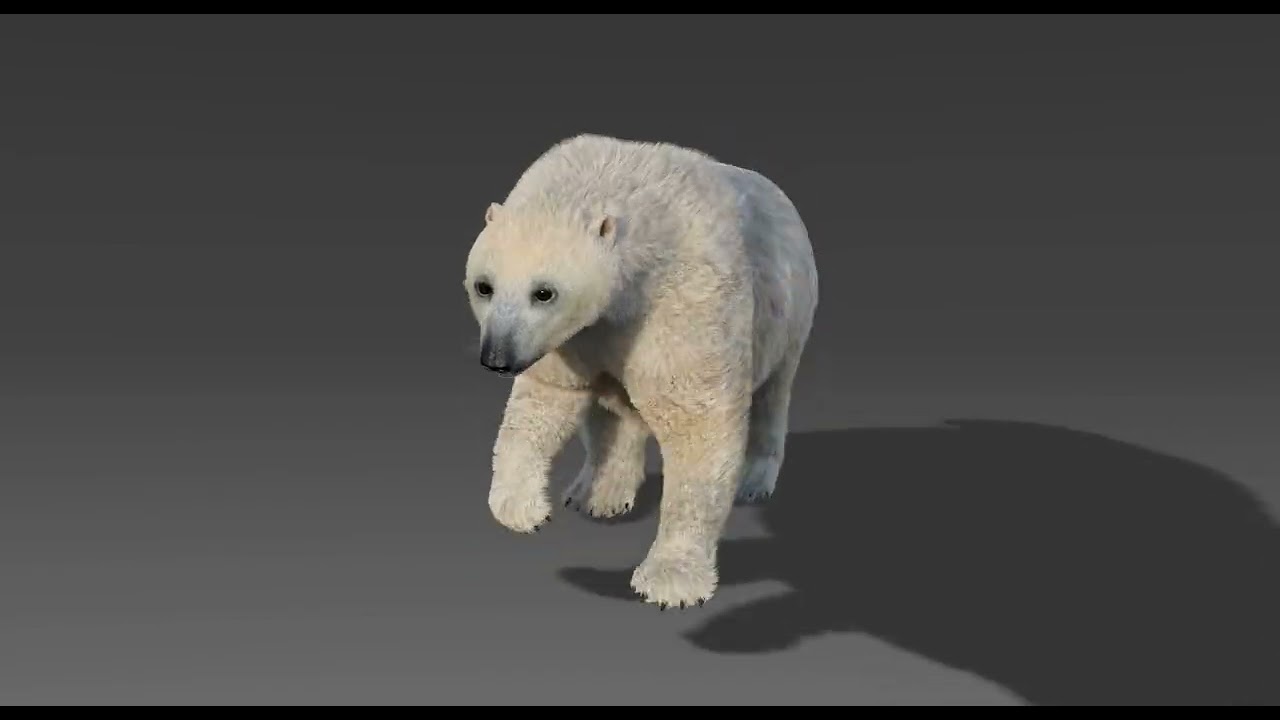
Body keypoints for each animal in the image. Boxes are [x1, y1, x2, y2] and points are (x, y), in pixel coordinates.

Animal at [463, 133, 819, 609]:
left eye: (544, 292)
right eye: (484, 285)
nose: (497, 358)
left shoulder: (685, 296)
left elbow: (696, 421)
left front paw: (670, 582)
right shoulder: (580, 335)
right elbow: (547, 396)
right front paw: (524, 509)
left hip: (787, 313)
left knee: (771, 394)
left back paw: (753, 480)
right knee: (613, 409)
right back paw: (599, 493)